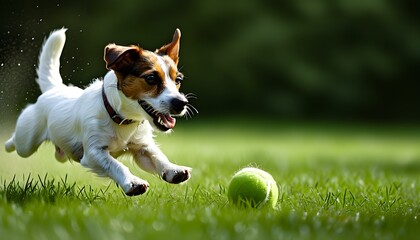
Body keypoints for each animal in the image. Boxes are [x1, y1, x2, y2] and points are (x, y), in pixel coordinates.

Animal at [4, 28, 196, 196]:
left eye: (178, 80)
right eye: (151, 78)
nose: (182, 103)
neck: (121, 118)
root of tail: (55, 88)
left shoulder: (142, 147)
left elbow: (157, 156)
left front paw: (173, 170)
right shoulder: (93, 152)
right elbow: (115, 164)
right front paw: (133, 182)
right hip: (26, 140)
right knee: (16, 143)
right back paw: (7, 144)